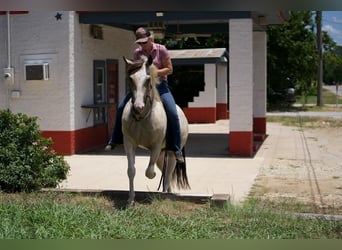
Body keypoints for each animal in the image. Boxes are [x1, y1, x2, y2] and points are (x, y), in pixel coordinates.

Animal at [121, 55, 190, 204]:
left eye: (148, 79)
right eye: (131, 78)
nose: (138, 107)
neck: (142, 118)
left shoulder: (156, 145)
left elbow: (150, 173)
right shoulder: (129, 143)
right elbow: (131, 171)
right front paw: (130, 199)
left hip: (171, 153)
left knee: (168, 172)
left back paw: (166, 193)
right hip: (161, 155)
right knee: (165, 172)